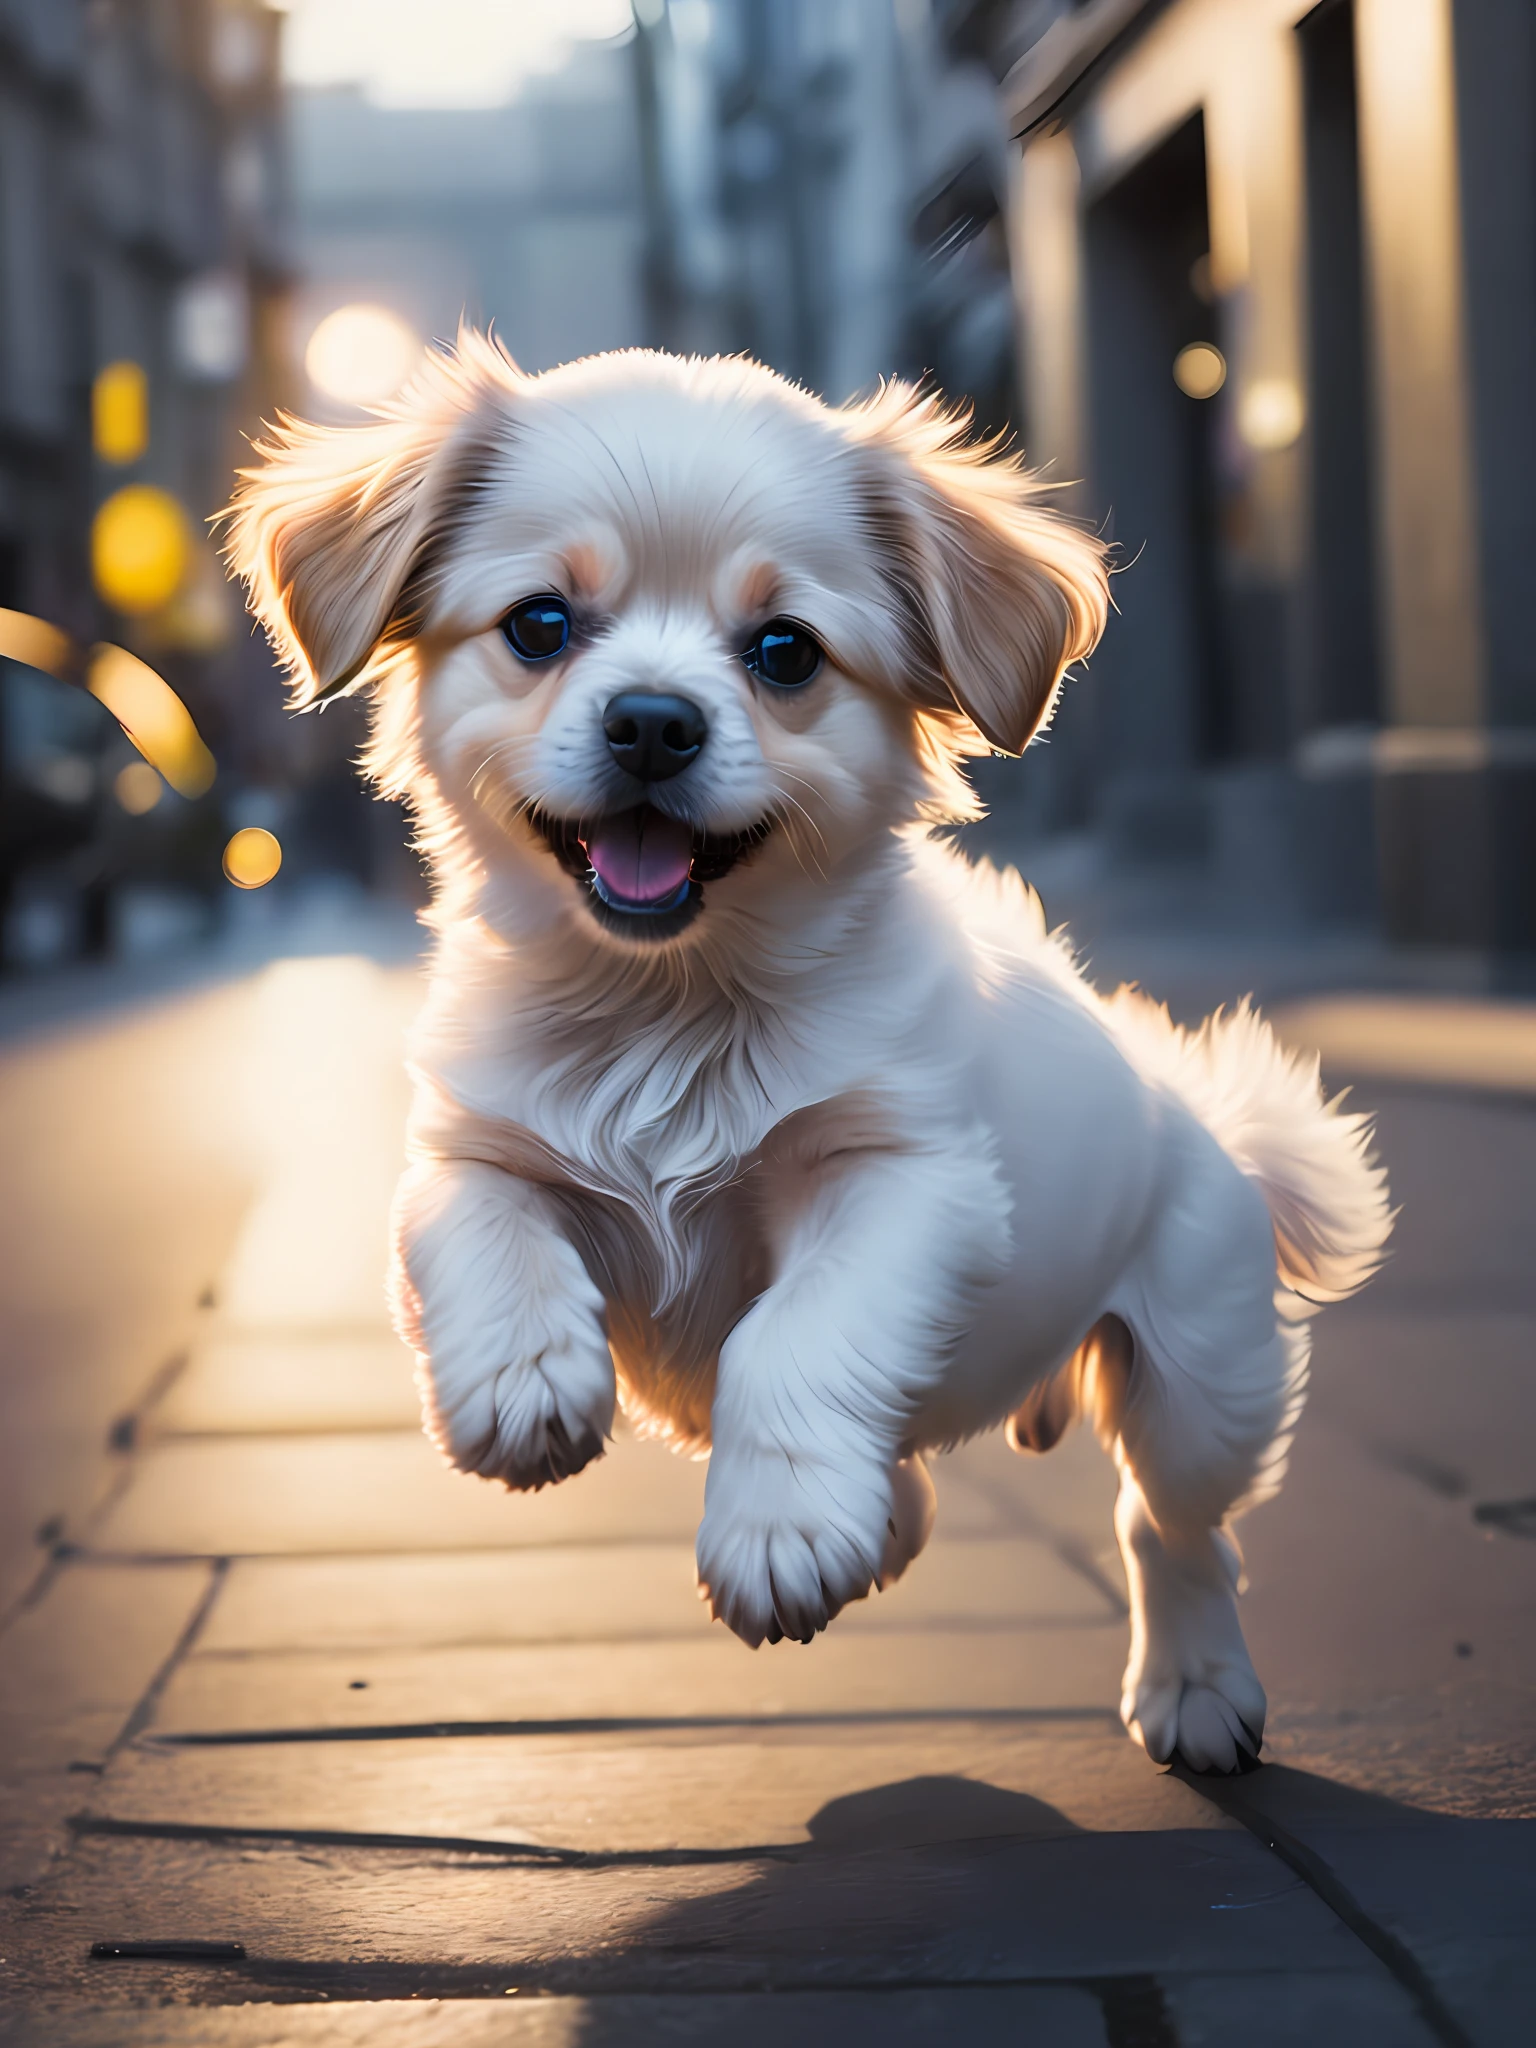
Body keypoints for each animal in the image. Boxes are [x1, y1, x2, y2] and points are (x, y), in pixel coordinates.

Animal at [228, 339, 1392, 1777]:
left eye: (784, 651)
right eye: (540, 626)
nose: (654, 721)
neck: (665, 1013)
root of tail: (1204, 1117)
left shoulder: (906, 1181)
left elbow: (792, 1333)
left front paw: (773, 1530)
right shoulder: (469, 1150)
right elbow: (484, 1238)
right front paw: (523, 1381)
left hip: (1203, 1382)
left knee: (1171, 1527)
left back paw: (1195, 1687)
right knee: (926, 1487)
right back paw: (876, 1525)